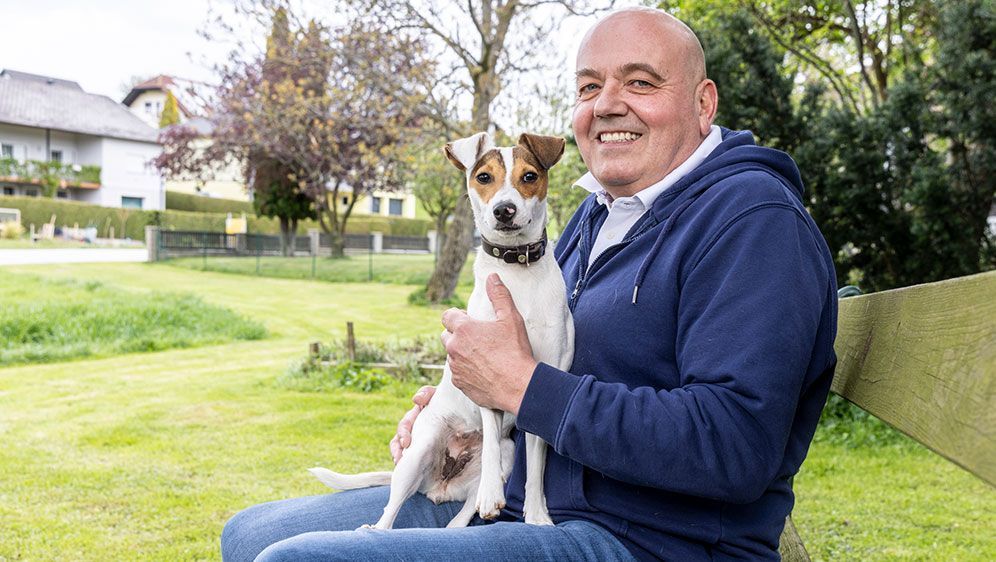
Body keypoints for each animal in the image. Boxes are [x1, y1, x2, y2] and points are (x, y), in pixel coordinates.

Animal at [312, 133, 576, 528]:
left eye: (529, 176)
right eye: (483, 177)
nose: (504, 210)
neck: (516, 273)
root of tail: (438, 486)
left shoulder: (541, 378)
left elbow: (537, 462)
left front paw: (536, 514)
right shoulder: (482, 369)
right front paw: (498, 497)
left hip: (507, 452)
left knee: (467, 507)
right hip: (418, 452)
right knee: (390, 512)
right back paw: (374, 528)